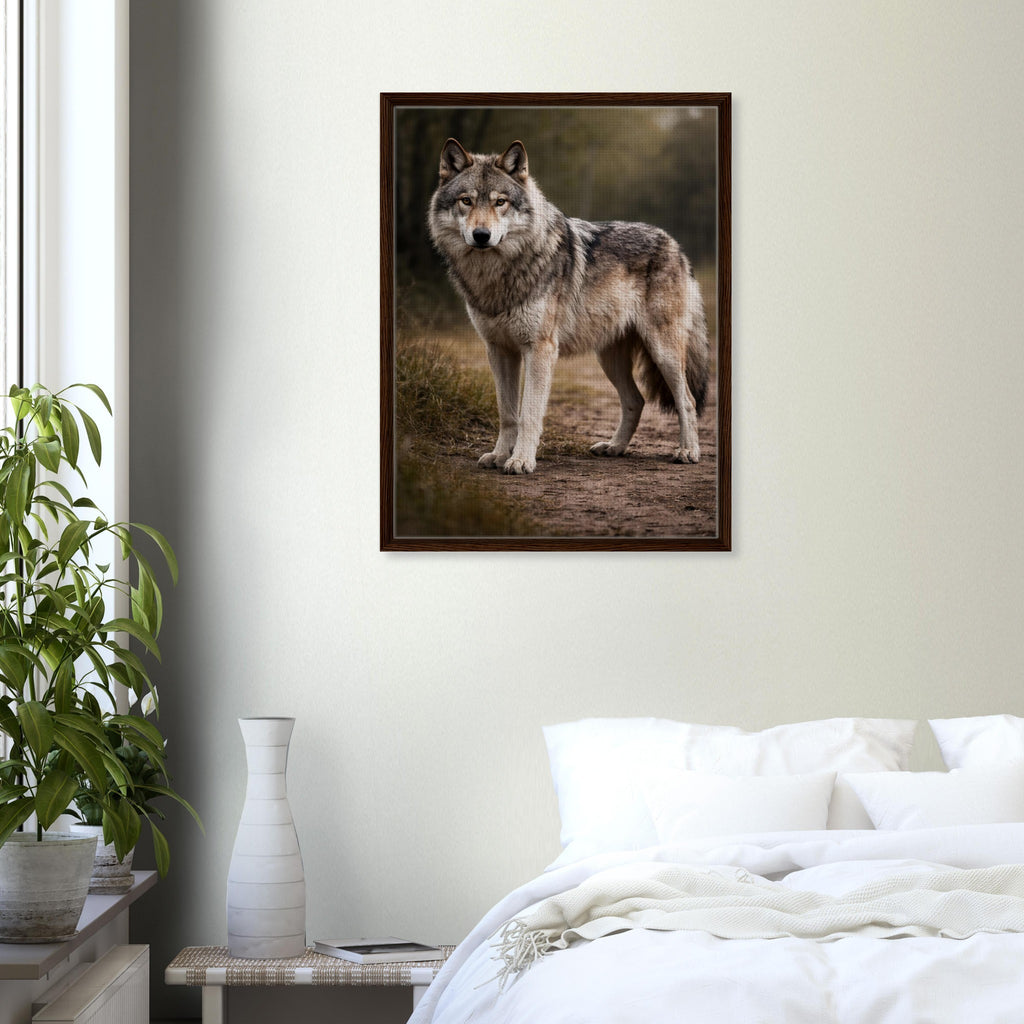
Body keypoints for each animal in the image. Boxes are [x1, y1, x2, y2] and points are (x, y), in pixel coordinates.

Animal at [427, 138, 710, 476]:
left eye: (500, 202)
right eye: (466, 201)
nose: (481, 235)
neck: (497, 274)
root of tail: (675, 245)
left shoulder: (540, 349)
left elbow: (529, 413)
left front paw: (521, 460)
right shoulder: (498, 350)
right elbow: (507, 413)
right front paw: (498, 455)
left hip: (663, 352)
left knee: (687, 400)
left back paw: (688, 451)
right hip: (609, 359)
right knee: (636, 401)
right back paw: (614, 447)